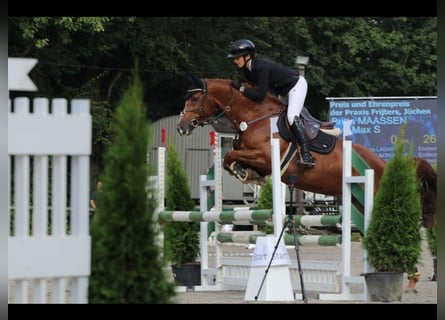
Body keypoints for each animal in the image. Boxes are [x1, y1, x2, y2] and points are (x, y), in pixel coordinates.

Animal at [175, 75, 436, 230]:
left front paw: (245, 173)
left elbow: (230, 157)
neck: (255, 117)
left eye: (195, 98)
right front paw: (249, 175)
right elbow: (230, 160)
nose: (181, 127)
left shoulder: (266, 157)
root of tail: (383, 164)